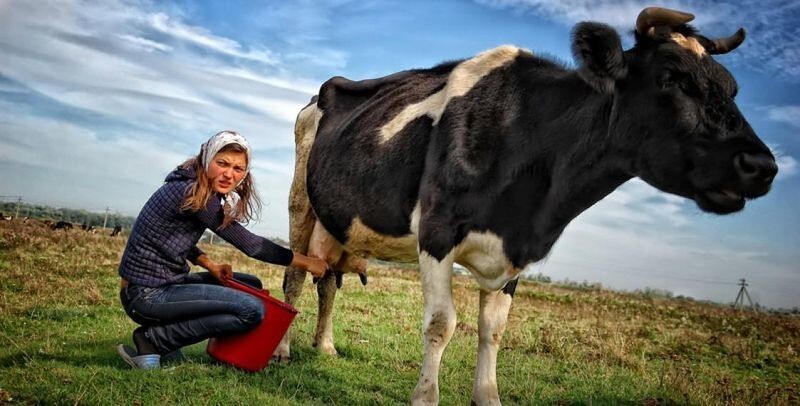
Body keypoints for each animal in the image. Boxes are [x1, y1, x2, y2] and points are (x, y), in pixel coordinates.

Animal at [278, 7, 780, 404]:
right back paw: (282, 350)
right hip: (301, 203)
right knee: (296, 276)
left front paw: (487, 397)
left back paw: (325, 347)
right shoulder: (437, 233)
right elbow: (442, 323)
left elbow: (493, 331)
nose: (763, 165)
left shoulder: (515, 252)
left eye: (732, 88)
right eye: (671, 78)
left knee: (329, 282)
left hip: (339, 223)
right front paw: (425, 396)